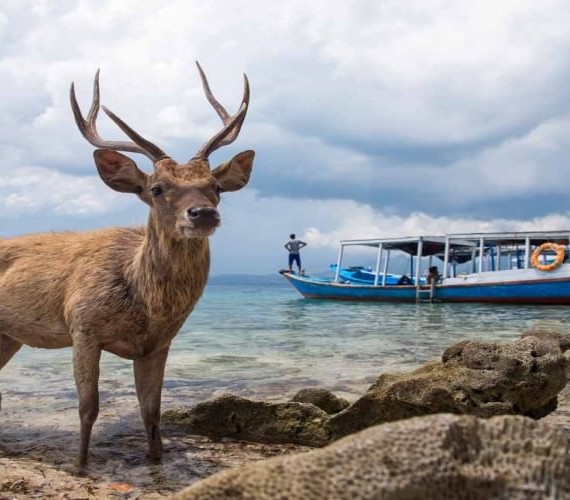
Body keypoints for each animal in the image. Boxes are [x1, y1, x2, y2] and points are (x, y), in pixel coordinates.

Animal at [0, 62, 254, 468]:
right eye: (156, 188)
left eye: (215, 187)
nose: (202, 213)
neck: (144, 304)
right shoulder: (82, 325)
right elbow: (88, 407)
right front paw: (80, 465)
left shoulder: (158, 344)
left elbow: (151, 411)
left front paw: (155, 460)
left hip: (8, 335)